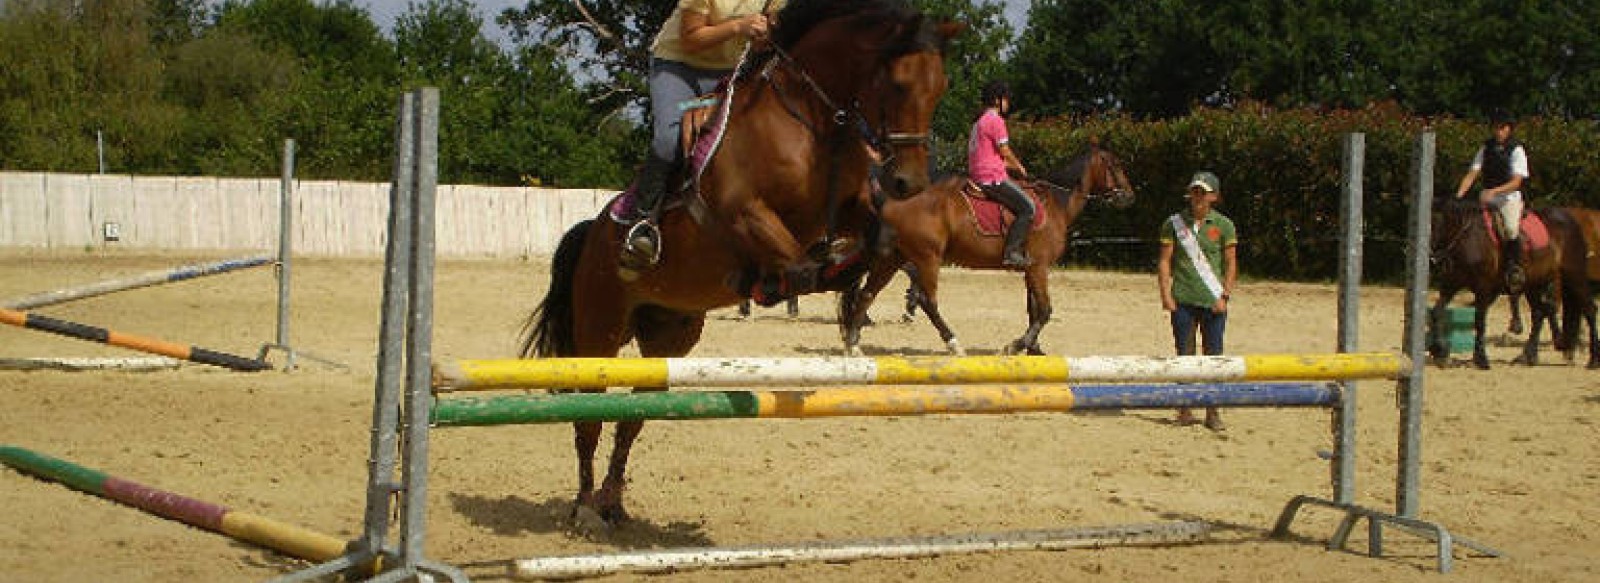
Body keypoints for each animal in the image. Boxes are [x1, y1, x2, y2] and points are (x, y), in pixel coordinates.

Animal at [524, 0, 953, 525]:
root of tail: (592, 230)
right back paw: (585, 507)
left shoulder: (848, 206)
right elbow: (797, 266)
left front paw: (841, 275)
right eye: (898, 83)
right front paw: (783, 280)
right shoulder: (746, 211)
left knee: (633, 418)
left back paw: (612, 503)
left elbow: (879, 236)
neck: (813, 122)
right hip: (599, 330)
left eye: (941, 86)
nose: (909, 183)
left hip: (669, 336)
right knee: (589, 415)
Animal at [838, 144, 1139, 355]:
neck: (1057, 203)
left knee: (867, 294)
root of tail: (892, 203)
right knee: (927, 301)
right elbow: (1045, 310)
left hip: (892, 259)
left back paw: (853, 344)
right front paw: (1017, 345)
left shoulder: (1030, 269)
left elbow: (1033, 309)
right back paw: (954, 343)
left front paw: (1034, 349)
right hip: (928, 258)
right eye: (1116, 164)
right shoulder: (1039, 267)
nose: (1129, 197)